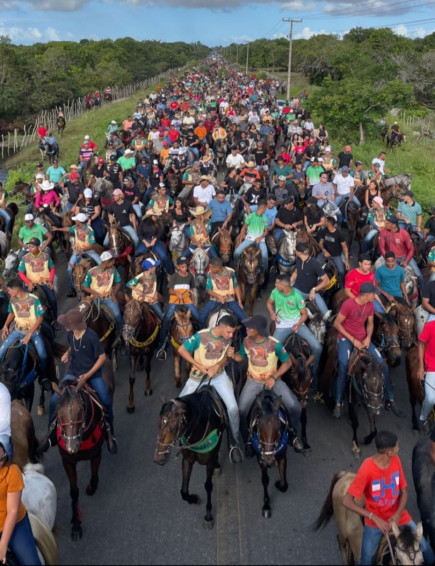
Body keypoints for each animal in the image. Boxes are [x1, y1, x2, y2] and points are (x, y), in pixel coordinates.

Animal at [54, 362, 115, 544]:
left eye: (81, 410)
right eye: (58, 412)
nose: (71, 446)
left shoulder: (95, 454)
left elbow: (94, 475)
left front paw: (92, 487)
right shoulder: (67, 461)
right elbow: (73, 492)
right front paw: (76, 524)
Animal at [154, 388, 228, 532]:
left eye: (173, 426)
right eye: (159, 423)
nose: (158, 458)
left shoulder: (209, 463)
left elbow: (208, 486)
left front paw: (208, 515)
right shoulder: (187, 459)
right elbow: (183, 491)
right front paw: (194, 499)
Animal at [249, 390, 290, 520]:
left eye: (278, 426)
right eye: (259, 425)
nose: (268, 460)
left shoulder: (283, 455)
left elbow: (284, 484)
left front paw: (278, 484)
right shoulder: (260, 459)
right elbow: (265, 480)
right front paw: (266, 505)